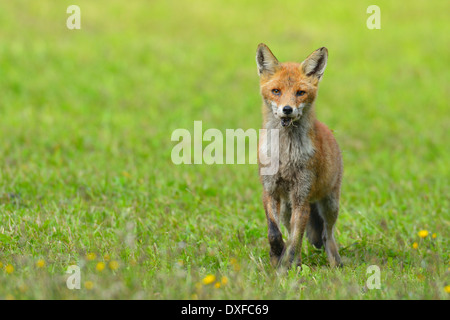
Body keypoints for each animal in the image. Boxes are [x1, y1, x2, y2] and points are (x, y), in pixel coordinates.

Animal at [256, 42, 342, 268]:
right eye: (276, 91)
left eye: (300, 92)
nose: (287, 109)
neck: (285, 154)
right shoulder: (270, 191)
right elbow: (274, 232)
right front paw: (277, 253)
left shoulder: (301, 197)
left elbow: (295, 241)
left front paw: (286, 267)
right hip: (287, 208)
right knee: (292, 230)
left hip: (329, 204)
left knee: (326, 234)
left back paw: (335, 263)